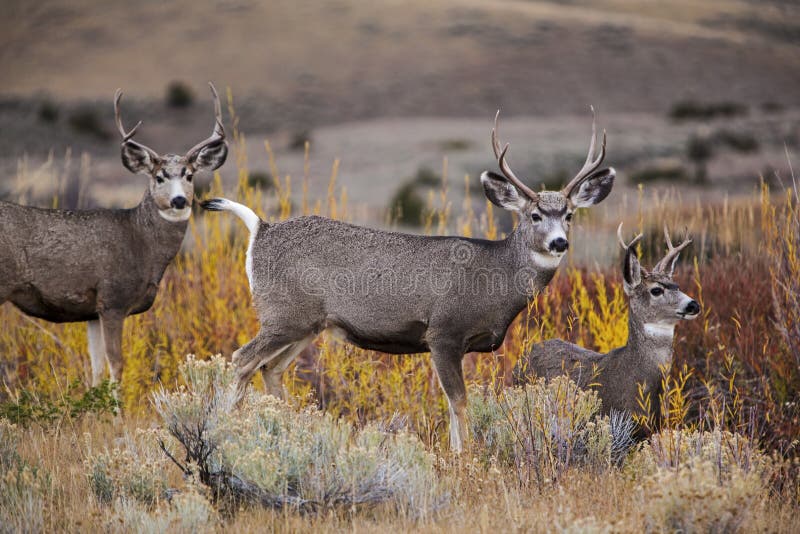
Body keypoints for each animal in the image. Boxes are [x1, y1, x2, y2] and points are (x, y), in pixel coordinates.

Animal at [0, 83, 228, 389]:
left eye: (190, 175)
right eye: (158, 177)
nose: (179, 200)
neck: (140, 241)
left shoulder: (92, 312)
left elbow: (96, 371)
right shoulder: (113, 300)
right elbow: (116, 365)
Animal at [201, 111, 615, 452]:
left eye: (569, 215)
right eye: (534, 215)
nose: (559, 242)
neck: (495, 277)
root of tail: (261, 229)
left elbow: (451, 405)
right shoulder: (444, 331)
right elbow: (459, 403)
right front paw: (466, 459)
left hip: (307, 324)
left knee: (270, 368)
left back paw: (289, 429)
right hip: (283, 314)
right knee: (242, 359)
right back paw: (224, 429)